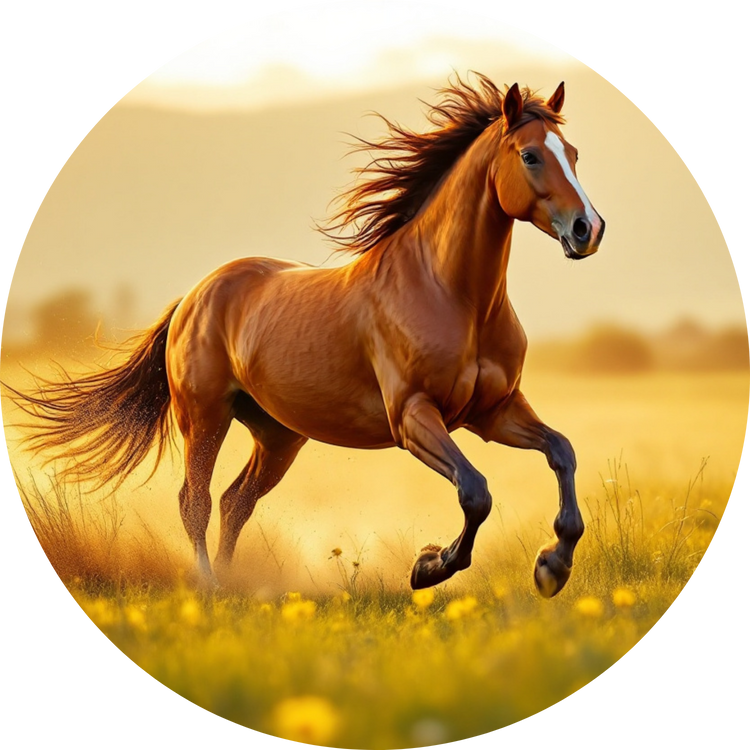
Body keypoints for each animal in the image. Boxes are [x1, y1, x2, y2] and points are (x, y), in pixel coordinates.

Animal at [4, 74, 604, 597]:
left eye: (574, 154)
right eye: (530, 155)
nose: (588, 230)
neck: (453, 295)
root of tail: (195, 295)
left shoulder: (493, 412)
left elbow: (562, 452)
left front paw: (552, 567)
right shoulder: (413, 416)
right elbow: (475, 491)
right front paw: (429, 566)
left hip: (278, 434)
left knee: (235, 502)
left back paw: (238, 585)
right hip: (205, 416)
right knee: (196, 501)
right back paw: (212, 587)